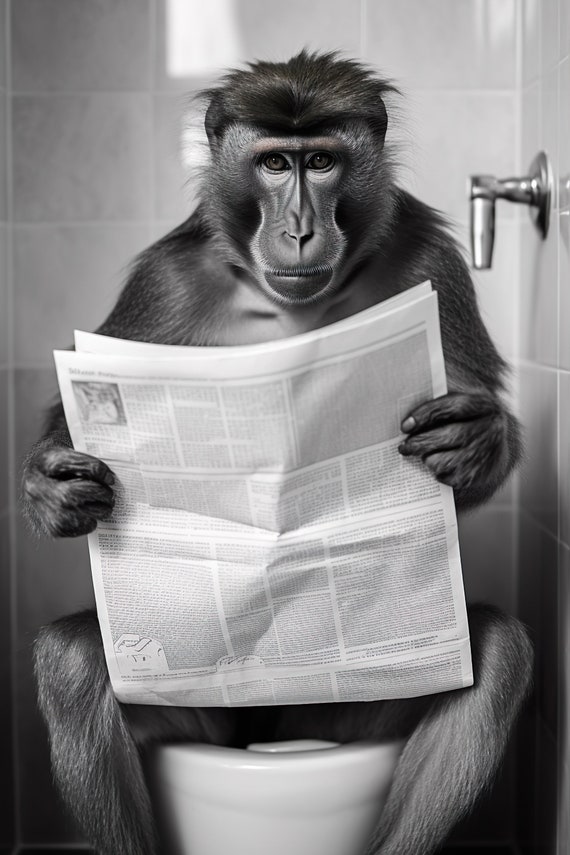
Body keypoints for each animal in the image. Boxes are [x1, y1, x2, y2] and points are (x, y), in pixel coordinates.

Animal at [23, 51, 533, 855]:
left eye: (321, 162)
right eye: (273, 163)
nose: (297, 228)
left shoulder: (433, 261)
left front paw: (473, 441)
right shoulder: (170, 280)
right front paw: (56, 489)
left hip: (348, 701)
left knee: (494, 660)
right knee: (76, 665)